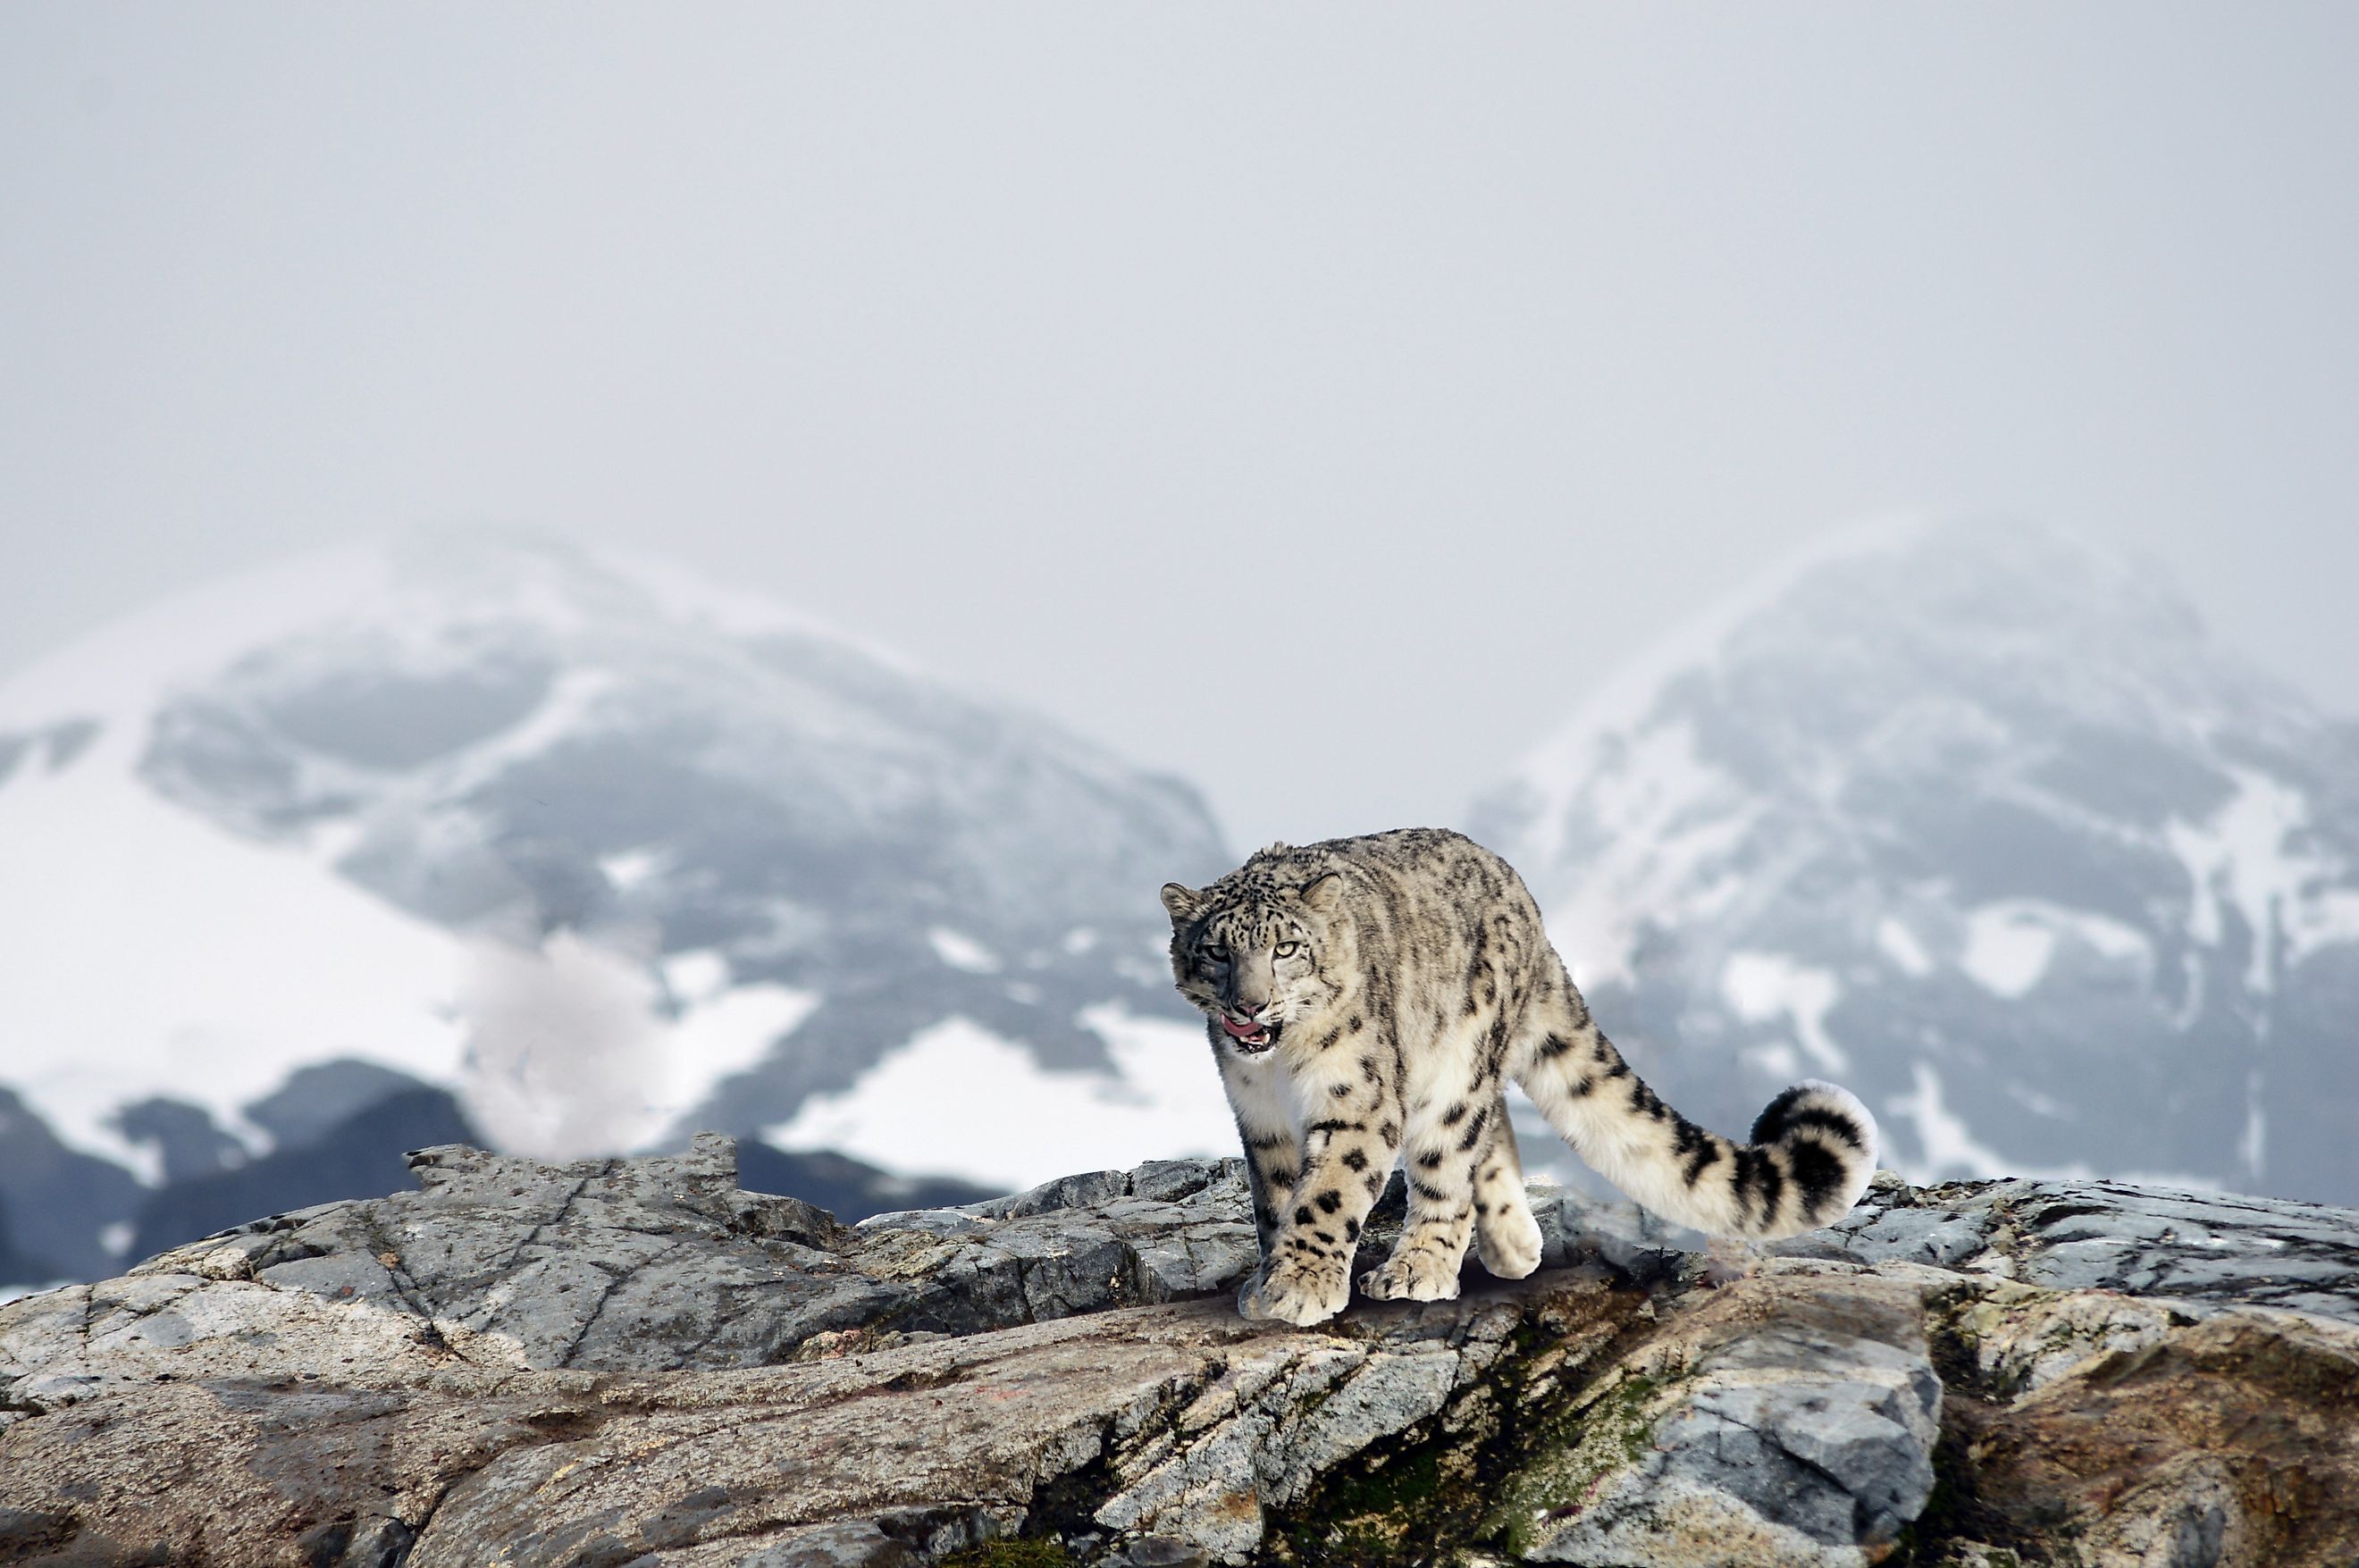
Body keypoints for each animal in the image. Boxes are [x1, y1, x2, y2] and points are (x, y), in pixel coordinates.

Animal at [1160, 825, 1877, 1329]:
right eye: (1216, 950)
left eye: (1286, 948)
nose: (1250, 1006)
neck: (1281, 1070)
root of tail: (1523, 897)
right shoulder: (1260, 1119)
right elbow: (1276, 1198)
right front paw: (1270, 1281)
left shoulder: (1356, 1100)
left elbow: (1328, 1193)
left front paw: (1301, 1285)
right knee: (1490, 1127)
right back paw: (1512, 1244)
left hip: (1459, 1058)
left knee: (1451, 1153)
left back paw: (1419, 1267)